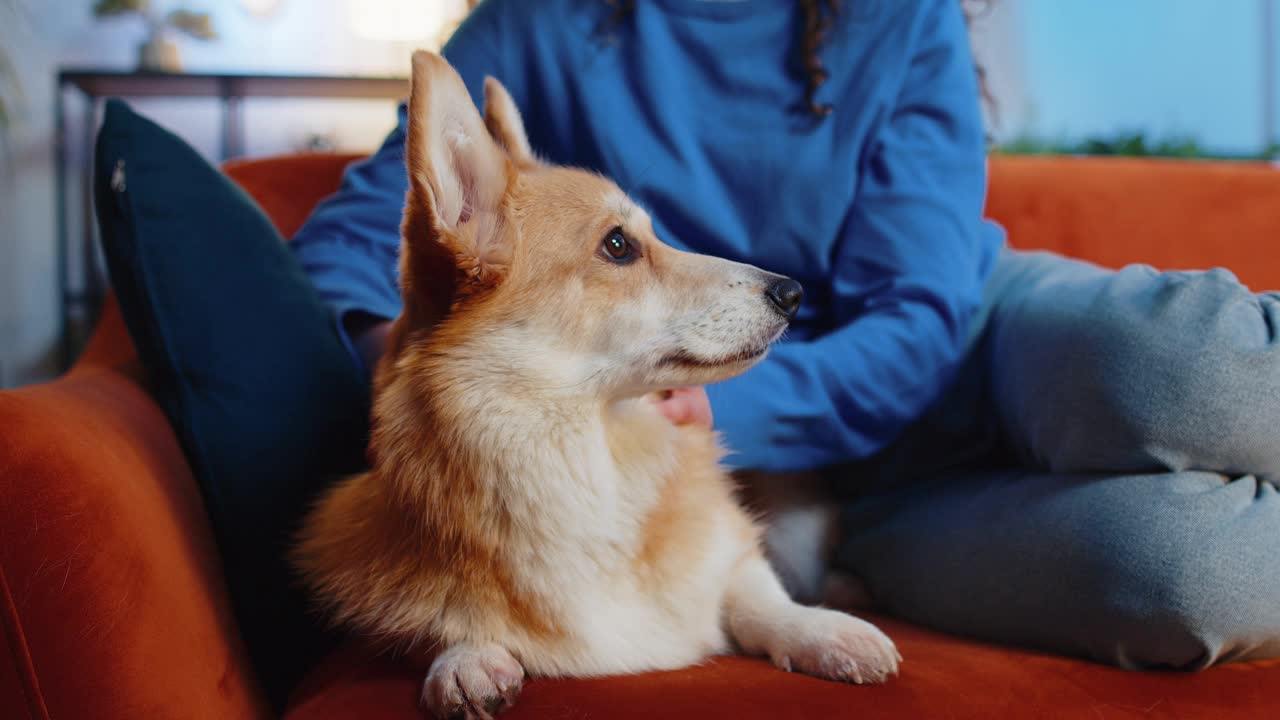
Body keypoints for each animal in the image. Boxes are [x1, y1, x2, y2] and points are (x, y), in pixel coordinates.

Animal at [295, 51, 901, 717]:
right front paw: (466, 661)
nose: (792, 293)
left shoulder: (736, 550)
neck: (592, 454)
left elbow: (756, 594)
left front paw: (822, 631)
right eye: (617, 245)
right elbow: (440, 619)